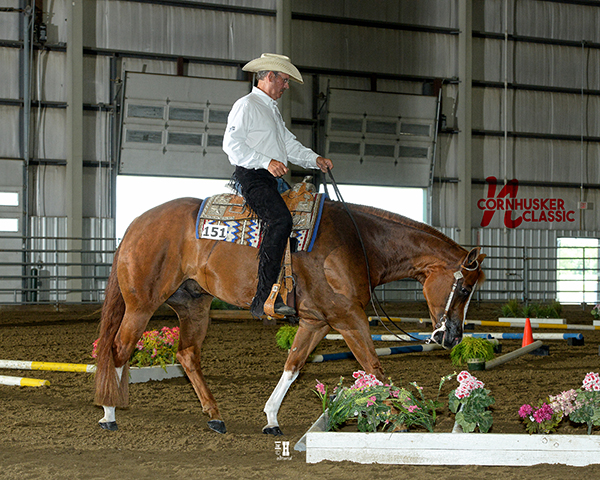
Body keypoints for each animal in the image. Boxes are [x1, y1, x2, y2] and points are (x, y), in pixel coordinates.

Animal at [95, 195, 488, 436]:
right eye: (464, 289)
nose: (453, 337)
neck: (358, 242)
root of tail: (136, 225)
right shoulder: (348, 317)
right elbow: (375, 367)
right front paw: (401, 418)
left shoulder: (318, 322)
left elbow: (294, 364)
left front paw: (271, 418)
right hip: (142, 305)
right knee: (118, 348)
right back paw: (109, 412)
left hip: (194, 305)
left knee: (187, 355)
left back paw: (214, 415)